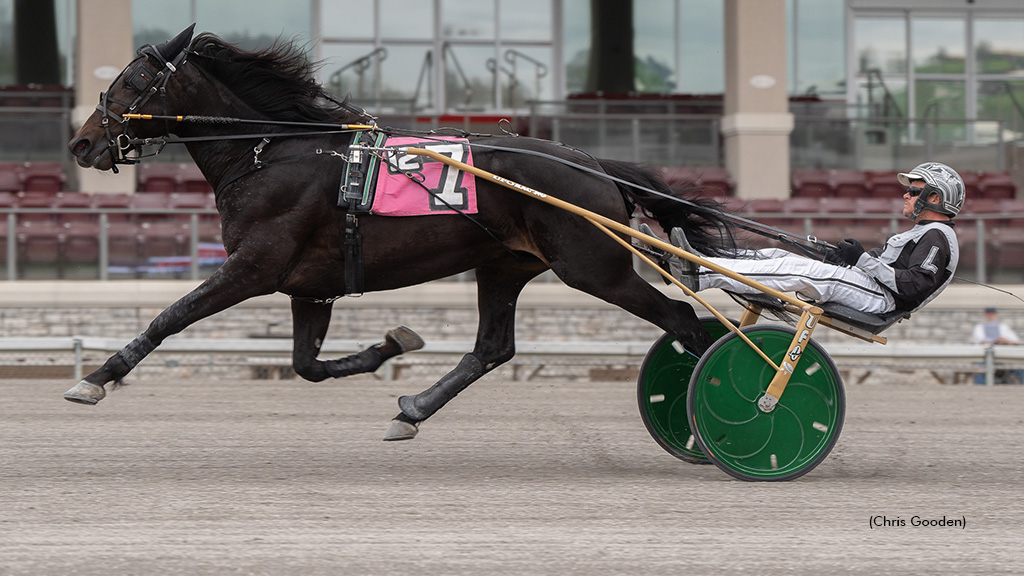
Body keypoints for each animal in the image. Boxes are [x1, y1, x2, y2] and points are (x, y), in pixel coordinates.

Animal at [64, 25, 741, 438]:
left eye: (131, 81)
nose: (82, 143)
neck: (268, 151)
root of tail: (595, 166)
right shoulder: (309, 286)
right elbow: (307, 365)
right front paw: (392, 344)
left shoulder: (253, 267)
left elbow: (171, 316)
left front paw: (96, 379)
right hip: (504, 264)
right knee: (493, 348)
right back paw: (413, 409)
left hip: (592, 265)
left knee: (684, 322)